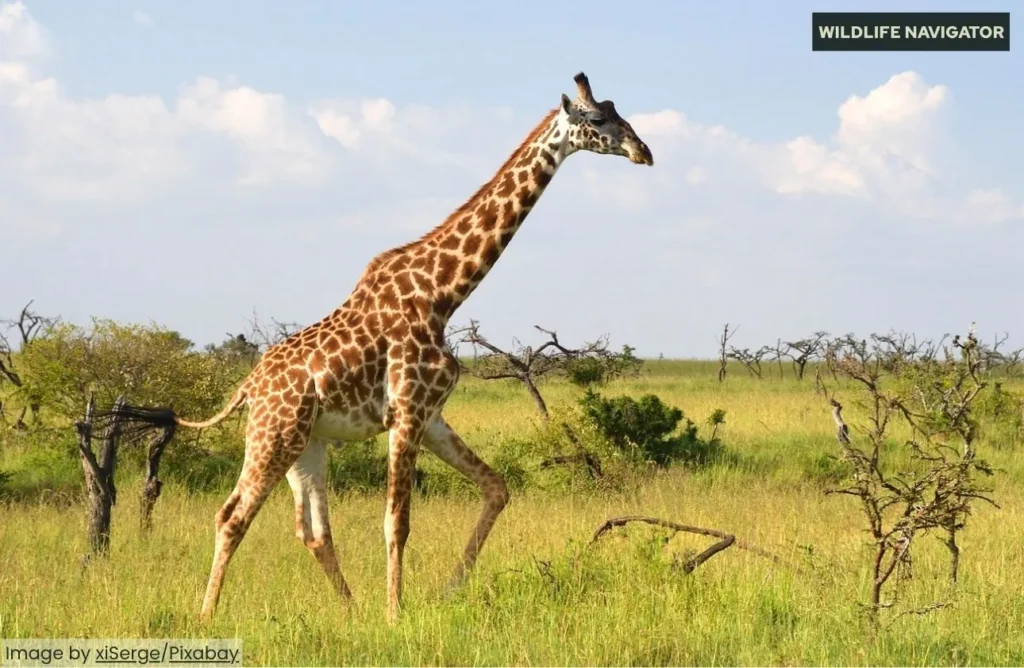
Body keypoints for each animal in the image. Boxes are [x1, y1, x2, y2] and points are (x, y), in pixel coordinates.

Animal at [107, 72, 654, 622]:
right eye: (598, 118)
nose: (643, 151)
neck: (443, 294)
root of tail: (247, 386)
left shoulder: (431, 415)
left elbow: (497, 488)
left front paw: (448, 590)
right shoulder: (407, 412)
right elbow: (397, 521)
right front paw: (396, 613)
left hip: (308, 444)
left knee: (312, 531)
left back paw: (350, 609)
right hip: (272, 435)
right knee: (232, 515)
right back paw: (208, 614)